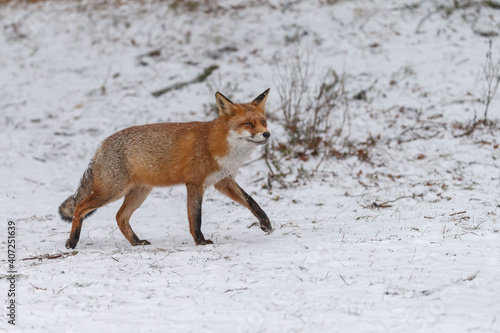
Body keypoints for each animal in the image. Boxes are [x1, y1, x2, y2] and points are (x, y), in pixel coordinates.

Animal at [59, 89, 274, 248]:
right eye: (248, 124)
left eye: (263, 122)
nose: (267, 134)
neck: (216, 142)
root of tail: (100, 146)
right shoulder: (195, 184)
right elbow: (195, 217)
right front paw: (200, 241)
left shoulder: (222, 180)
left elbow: (251, 201)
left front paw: (265, 223)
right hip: (111, 192)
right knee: (80, 207)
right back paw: (72, 242)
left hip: (138, 193)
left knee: (120, 217)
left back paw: (136, 242)